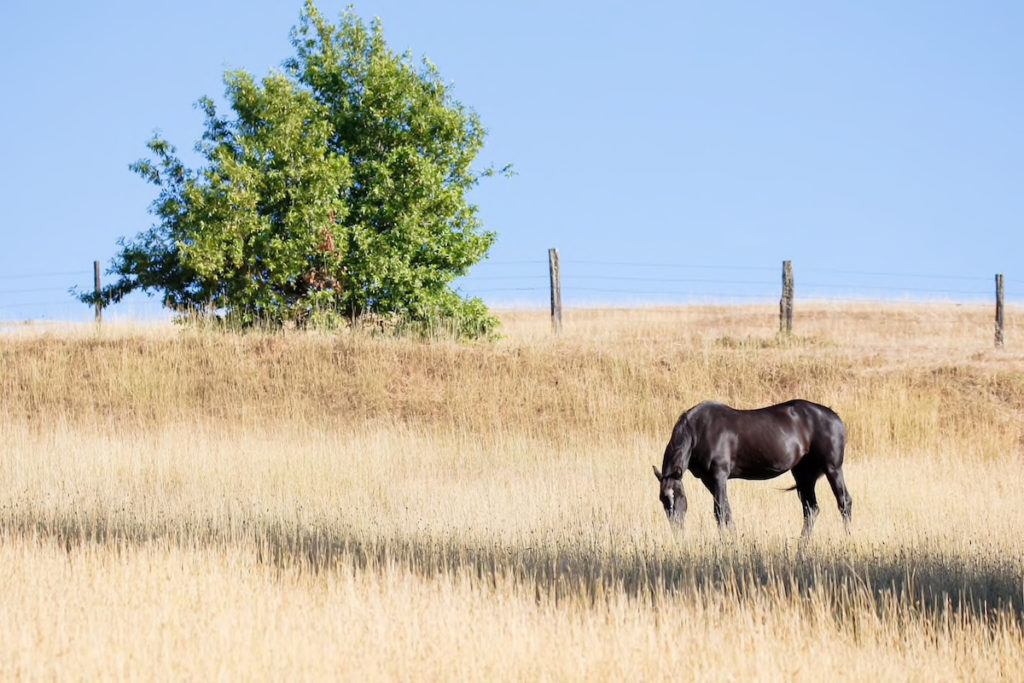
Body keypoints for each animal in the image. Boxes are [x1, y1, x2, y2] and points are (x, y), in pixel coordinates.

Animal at [651, 397, 851, 536]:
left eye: (678, 496)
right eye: (662, 499)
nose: (676, 529)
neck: (699, 431)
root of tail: (835, 417)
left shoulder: (719, 476)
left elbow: (720, 512)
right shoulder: (708, 480)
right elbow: (726, 512)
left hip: (832, 468)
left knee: (844, 502)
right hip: (803, 475)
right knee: (811, 510)